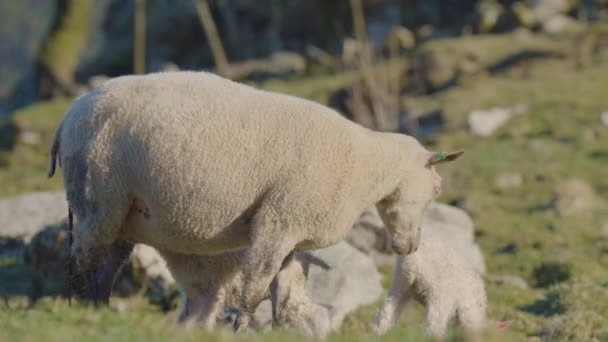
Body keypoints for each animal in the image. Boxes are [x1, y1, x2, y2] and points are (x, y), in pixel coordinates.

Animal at [48, 71, 460, 330]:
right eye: (437, 190)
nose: (410, 246)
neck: (365, 166)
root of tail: (68, 116)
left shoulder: (292, 234)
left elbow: (280, 295)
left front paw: (273, 328)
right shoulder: (278, 221)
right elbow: (256, 288)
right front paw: (242, 327)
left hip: (122, 215)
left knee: (105, 269)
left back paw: (98, 312)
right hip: (97, 198)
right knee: (80, 261)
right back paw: (77, 312)